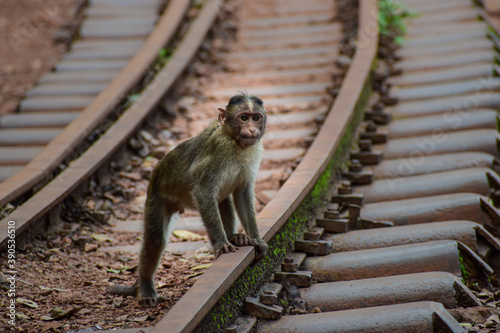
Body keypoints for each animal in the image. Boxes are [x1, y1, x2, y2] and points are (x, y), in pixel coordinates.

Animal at [108, 92, 268, 306]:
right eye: (243, 117)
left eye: (256, 117)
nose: (251, 129)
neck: (235, 142)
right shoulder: (220, 149)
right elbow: (203, 191)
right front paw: (221, 243)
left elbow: (241, 194)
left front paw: (256, 239)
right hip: (156, 197)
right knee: (156, 240)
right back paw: (145, 288)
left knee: (222, 199)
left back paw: (235, 236)